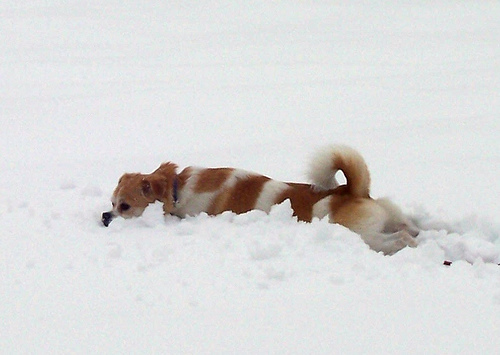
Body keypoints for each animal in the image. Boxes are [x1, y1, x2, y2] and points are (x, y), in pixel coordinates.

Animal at [101, 145, 418, 256]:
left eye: (124, 206)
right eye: (111, 202)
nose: (105, 217)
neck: (178, 188)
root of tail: (352, 191)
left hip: (363, 236)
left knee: (396, 240)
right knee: (407, 229)